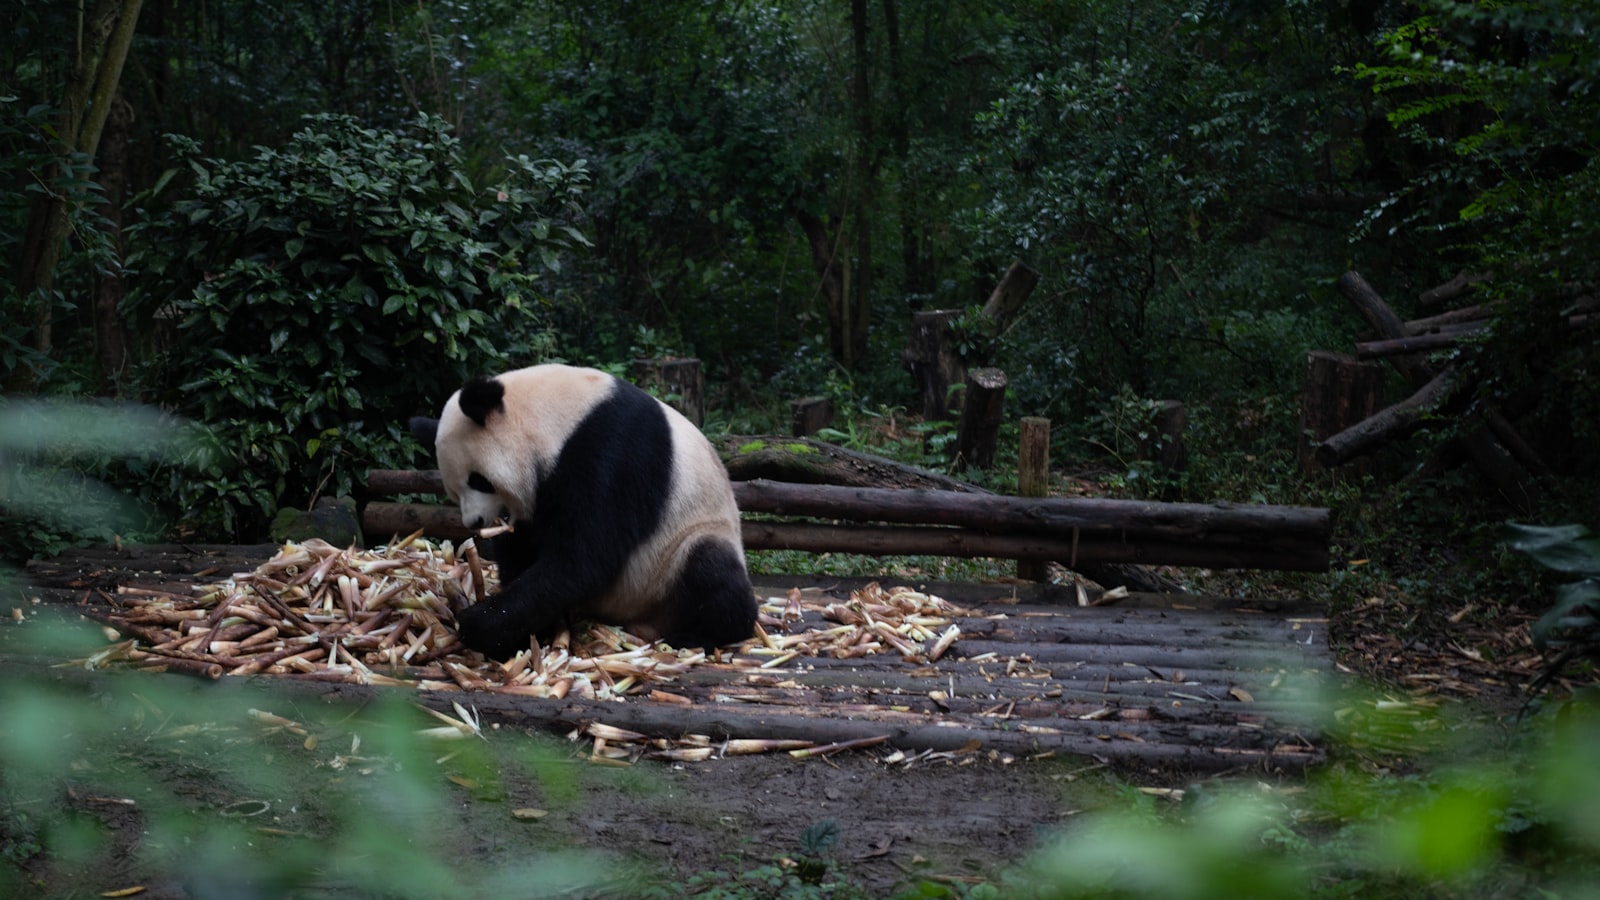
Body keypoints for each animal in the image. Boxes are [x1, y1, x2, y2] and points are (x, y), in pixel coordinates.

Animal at [412, 360, 761, 656]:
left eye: (479, 481)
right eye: (454, 491)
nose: (475, 521)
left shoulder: (613, 452)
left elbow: (585, 557)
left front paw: (479, 623)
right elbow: (524, 548)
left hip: (679, 551)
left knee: (711, 567)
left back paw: (700, 635)